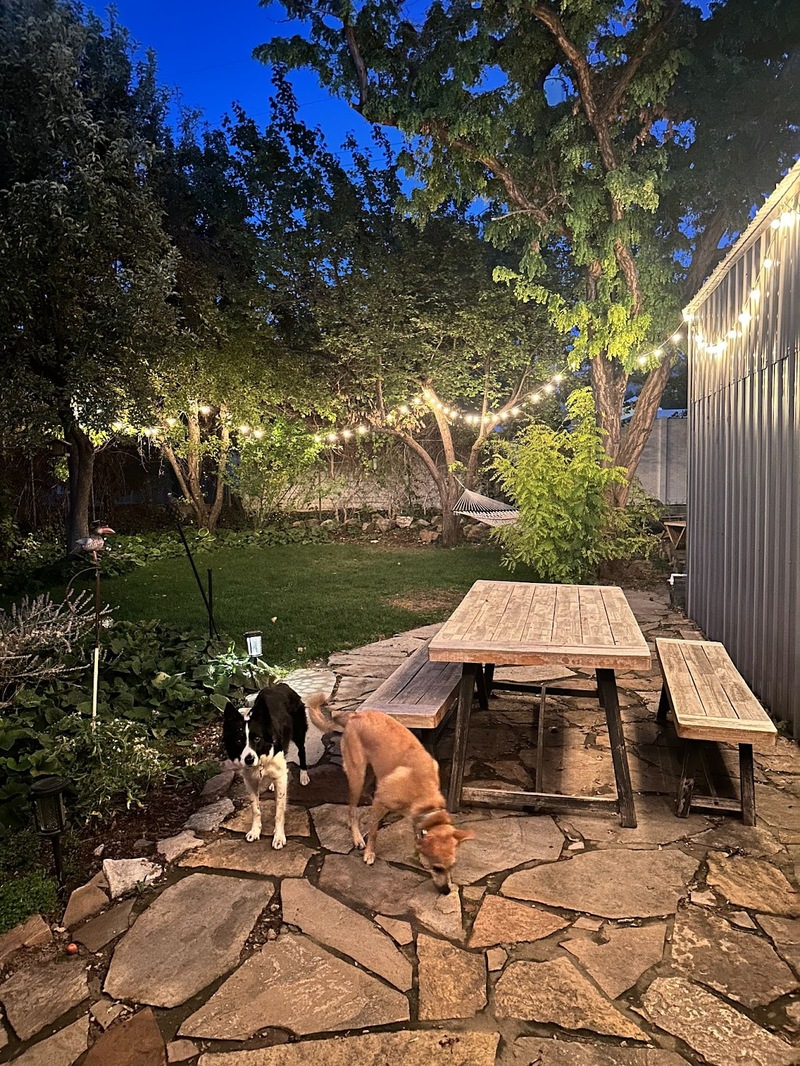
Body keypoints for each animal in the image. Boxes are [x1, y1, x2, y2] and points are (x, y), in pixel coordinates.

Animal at [226, 686, 313, 852]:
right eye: (239, 740)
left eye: (257, 738)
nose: (248, 759)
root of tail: (283, 685)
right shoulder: (249, 780)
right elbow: (255, 808)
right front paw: (255, 831)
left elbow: (279, 811)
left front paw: (278, 837)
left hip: (299, 733)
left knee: (302, 752)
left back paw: (304, 775)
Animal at [305, 690, 469, 891]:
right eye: (436, 868)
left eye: (452, 867)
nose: (446, 891)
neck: (422, 792)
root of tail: (353, 715)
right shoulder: (380, 803)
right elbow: (374, 831)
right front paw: (369, 853)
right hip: (357, 776)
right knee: (351, 809)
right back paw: (357, 838)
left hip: (370, 774)